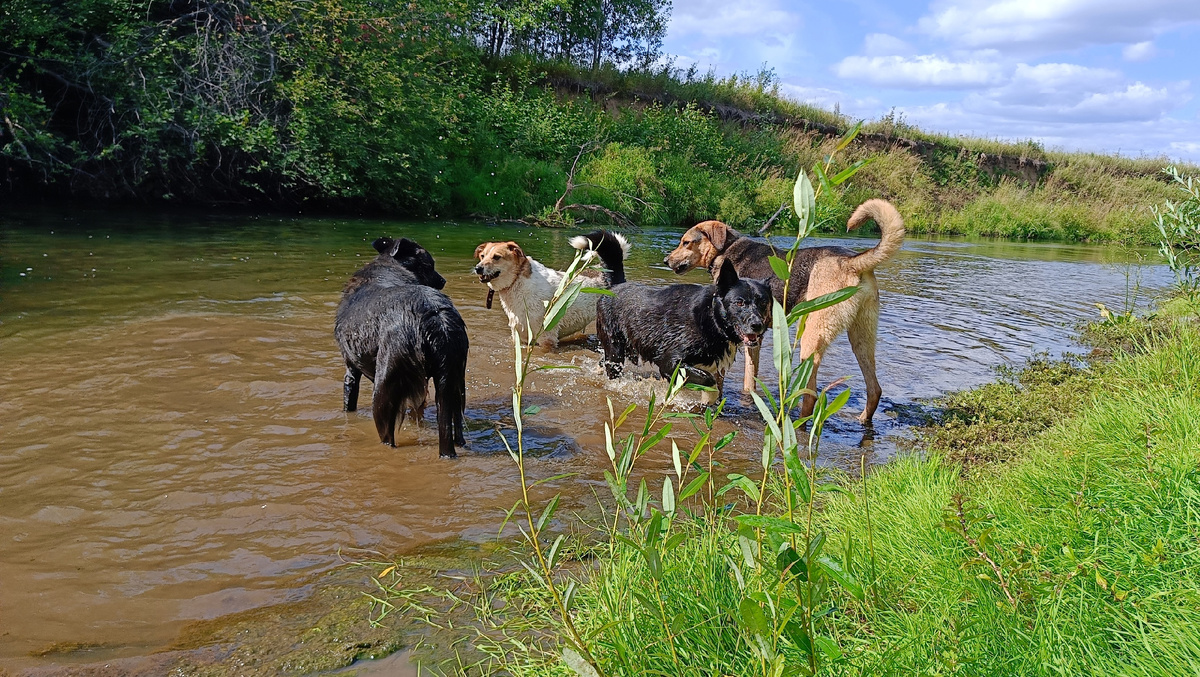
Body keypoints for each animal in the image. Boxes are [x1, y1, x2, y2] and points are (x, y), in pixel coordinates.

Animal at [338, 236, 472, 453]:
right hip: (454, 382)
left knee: (388, 437)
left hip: (384, 387)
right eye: (429, 265)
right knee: (456, 427)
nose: (443, 281)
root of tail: (435, 316)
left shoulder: (351, 369)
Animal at [475, 231, 633, 348]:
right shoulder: (520, 336)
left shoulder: (546, 337)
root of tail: (608, 274)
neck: (517, 281)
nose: (478, 268)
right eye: (482, 256)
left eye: (497, 257)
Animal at [595, 256, 772, 398]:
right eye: (739, 303)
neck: (712, 318)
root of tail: (615, 286)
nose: (757, 325)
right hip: (615, 350)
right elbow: (709, 379)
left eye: (763, 302)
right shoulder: (670, 363)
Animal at [662, 198, 902, 422]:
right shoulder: (756, 338)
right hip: (862, 339)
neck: (727, 250)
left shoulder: (745, 338)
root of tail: (853, 262)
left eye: (686, 242)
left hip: (812, 338)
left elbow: (739, 378)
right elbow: (750, 378)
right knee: (874, 390)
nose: (666, 260)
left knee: (811, 395)